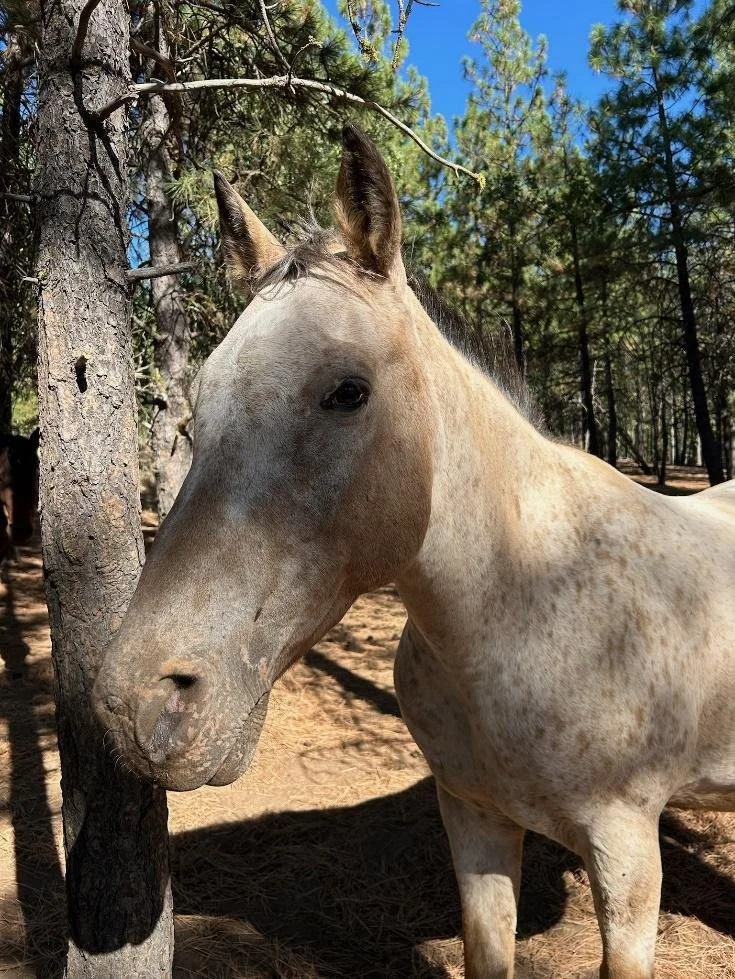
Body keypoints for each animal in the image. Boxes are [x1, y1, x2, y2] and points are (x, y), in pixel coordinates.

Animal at [94, 126, 735, 979]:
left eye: (346, 391)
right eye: (197, 404)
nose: (138, 702)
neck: (523, 602)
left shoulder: (627, 856)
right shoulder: (472, 820)